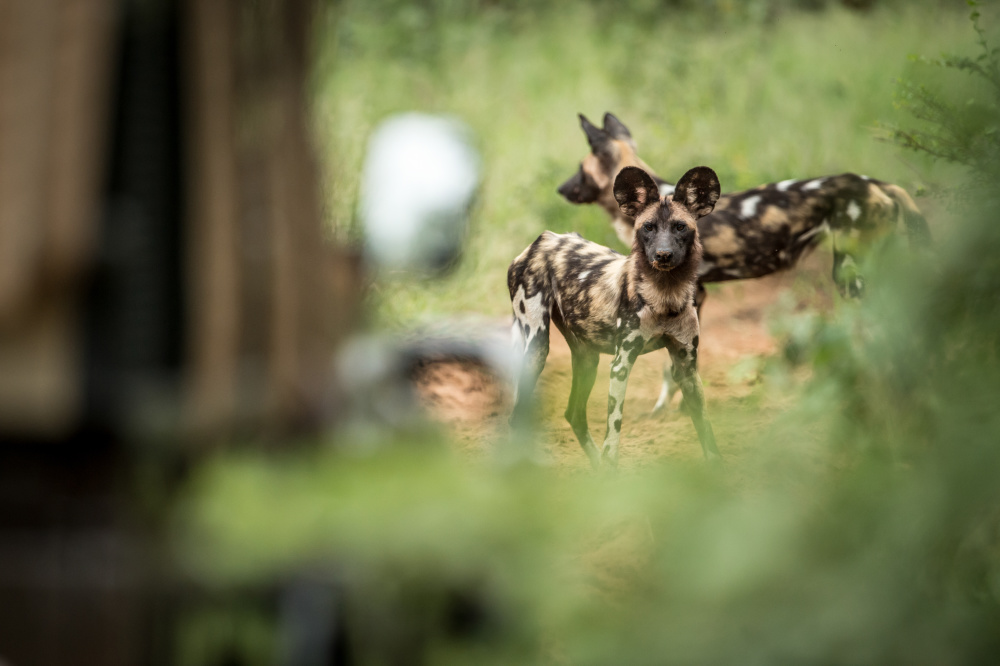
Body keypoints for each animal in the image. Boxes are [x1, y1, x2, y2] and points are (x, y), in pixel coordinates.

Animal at [512, 166, 724, 466]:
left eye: (680, 227)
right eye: (648, 227)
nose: (663, 255)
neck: (665, 295)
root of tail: (543, 239)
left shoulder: (687, 368)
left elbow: (705, 428)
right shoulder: (620, 365)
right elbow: (614, 429)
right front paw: (611, 465)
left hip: (587, 359)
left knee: (574, 414)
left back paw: (597, 469)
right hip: (536, 348)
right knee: (517, 416)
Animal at [560, 111, 932, 410]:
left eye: (579, 170)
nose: (561, 189)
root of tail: (877, 183)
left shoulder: (692, 295)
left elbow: (674, 367)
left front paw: (671, 406)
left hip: (850, 273)